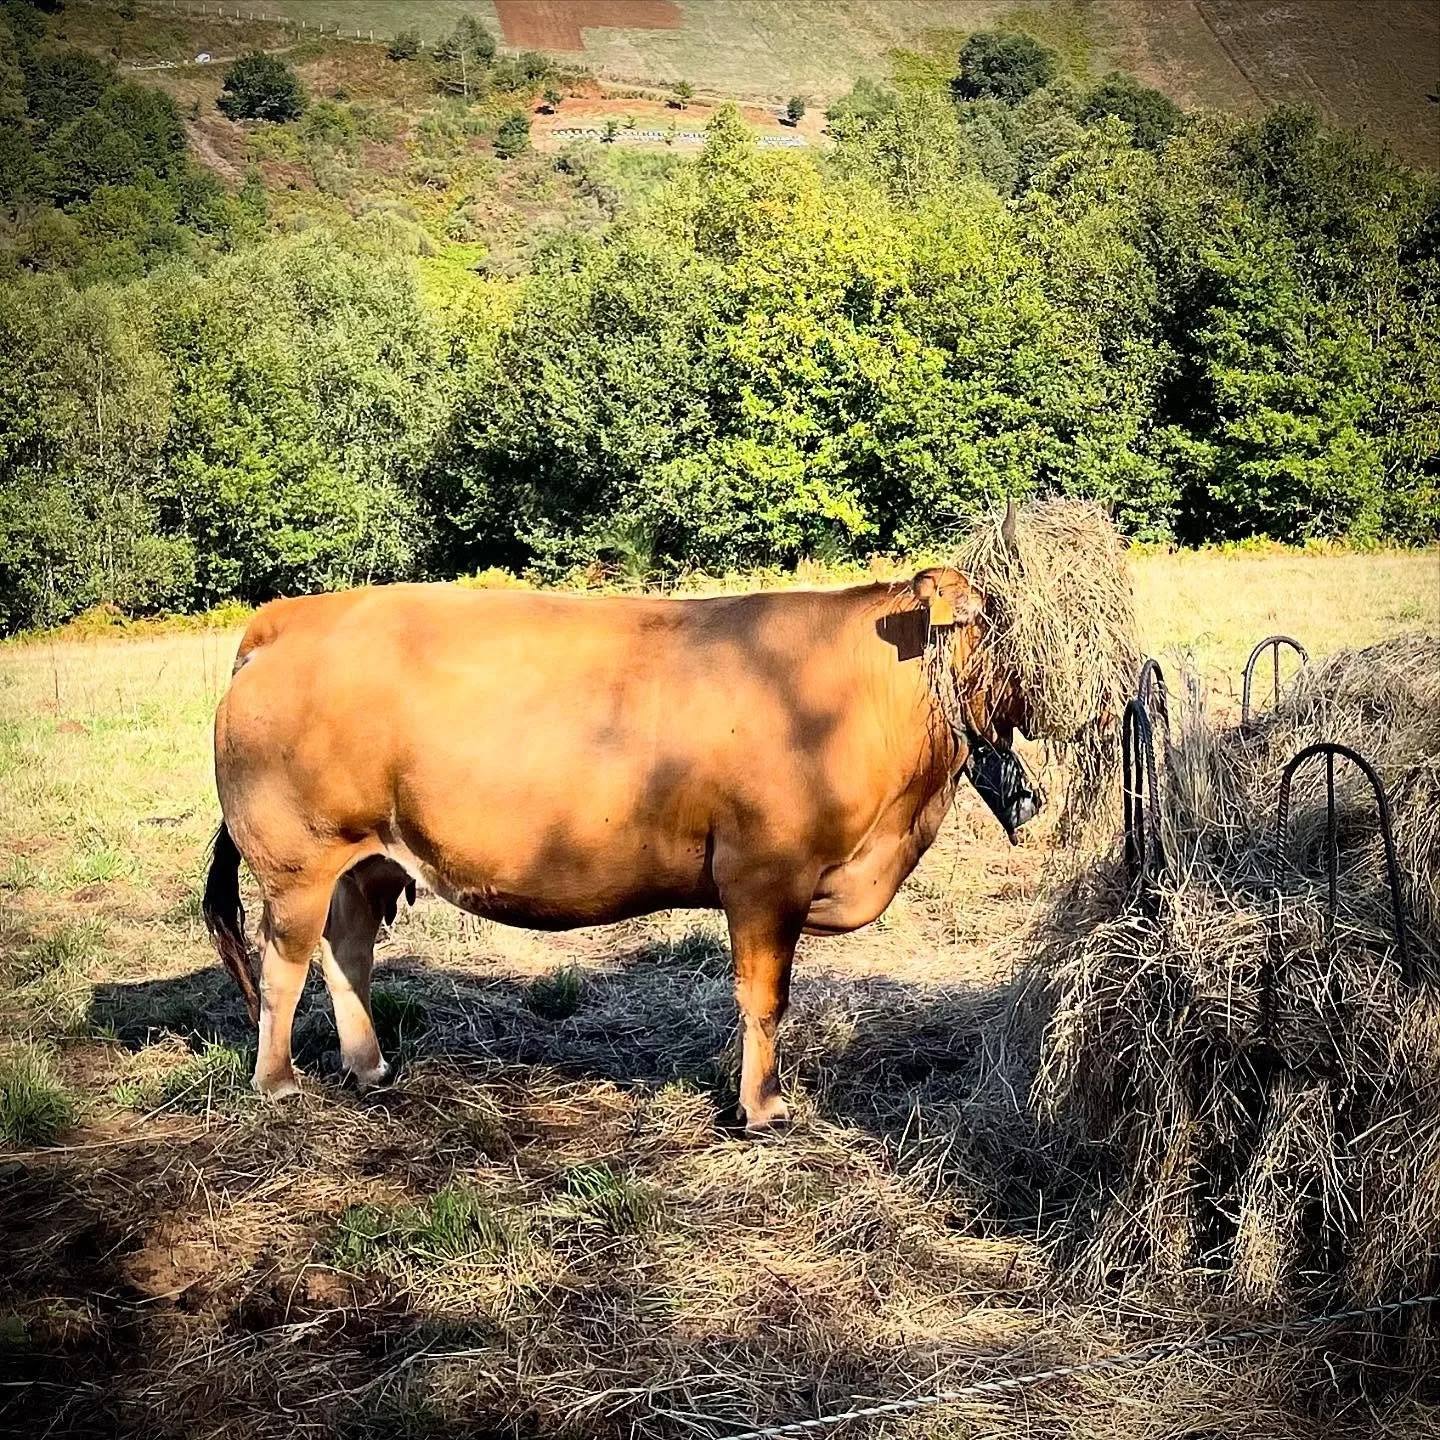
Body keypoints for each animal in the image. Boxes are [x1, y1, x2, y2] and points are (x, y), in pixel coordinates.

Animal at [202, 518, 1040, 1131]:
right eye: (998, 621)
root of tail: (298, 615)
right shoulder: (765, 874)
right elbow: (763, 997)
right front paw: (764, 1108)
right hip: (299, 859)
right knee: (284, 965)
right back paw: (277, 1083)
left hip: (366, 857)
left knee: (346, 951)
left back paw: (371, 1067)